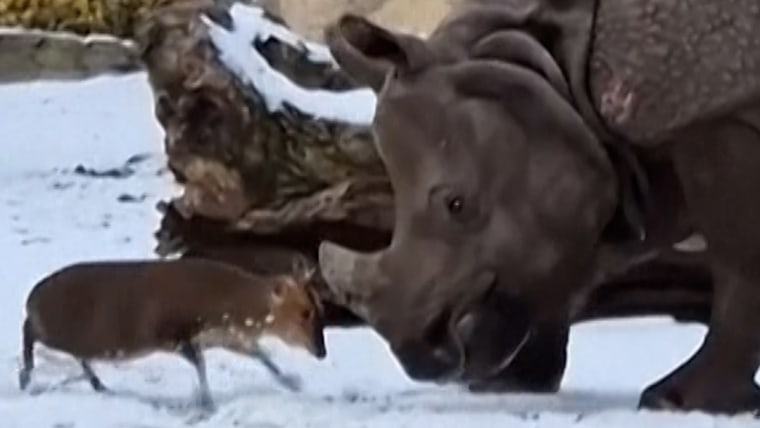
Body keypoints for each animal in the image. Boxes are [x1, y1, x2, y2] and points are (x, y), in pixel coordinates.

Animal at [317, 0, 760, 414]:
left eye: (456, 204)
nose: (420, 358)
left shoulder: (714, 111)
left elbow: (739, 260)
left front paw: (677, 401)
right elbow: (573, 260)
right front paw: (507, 384)